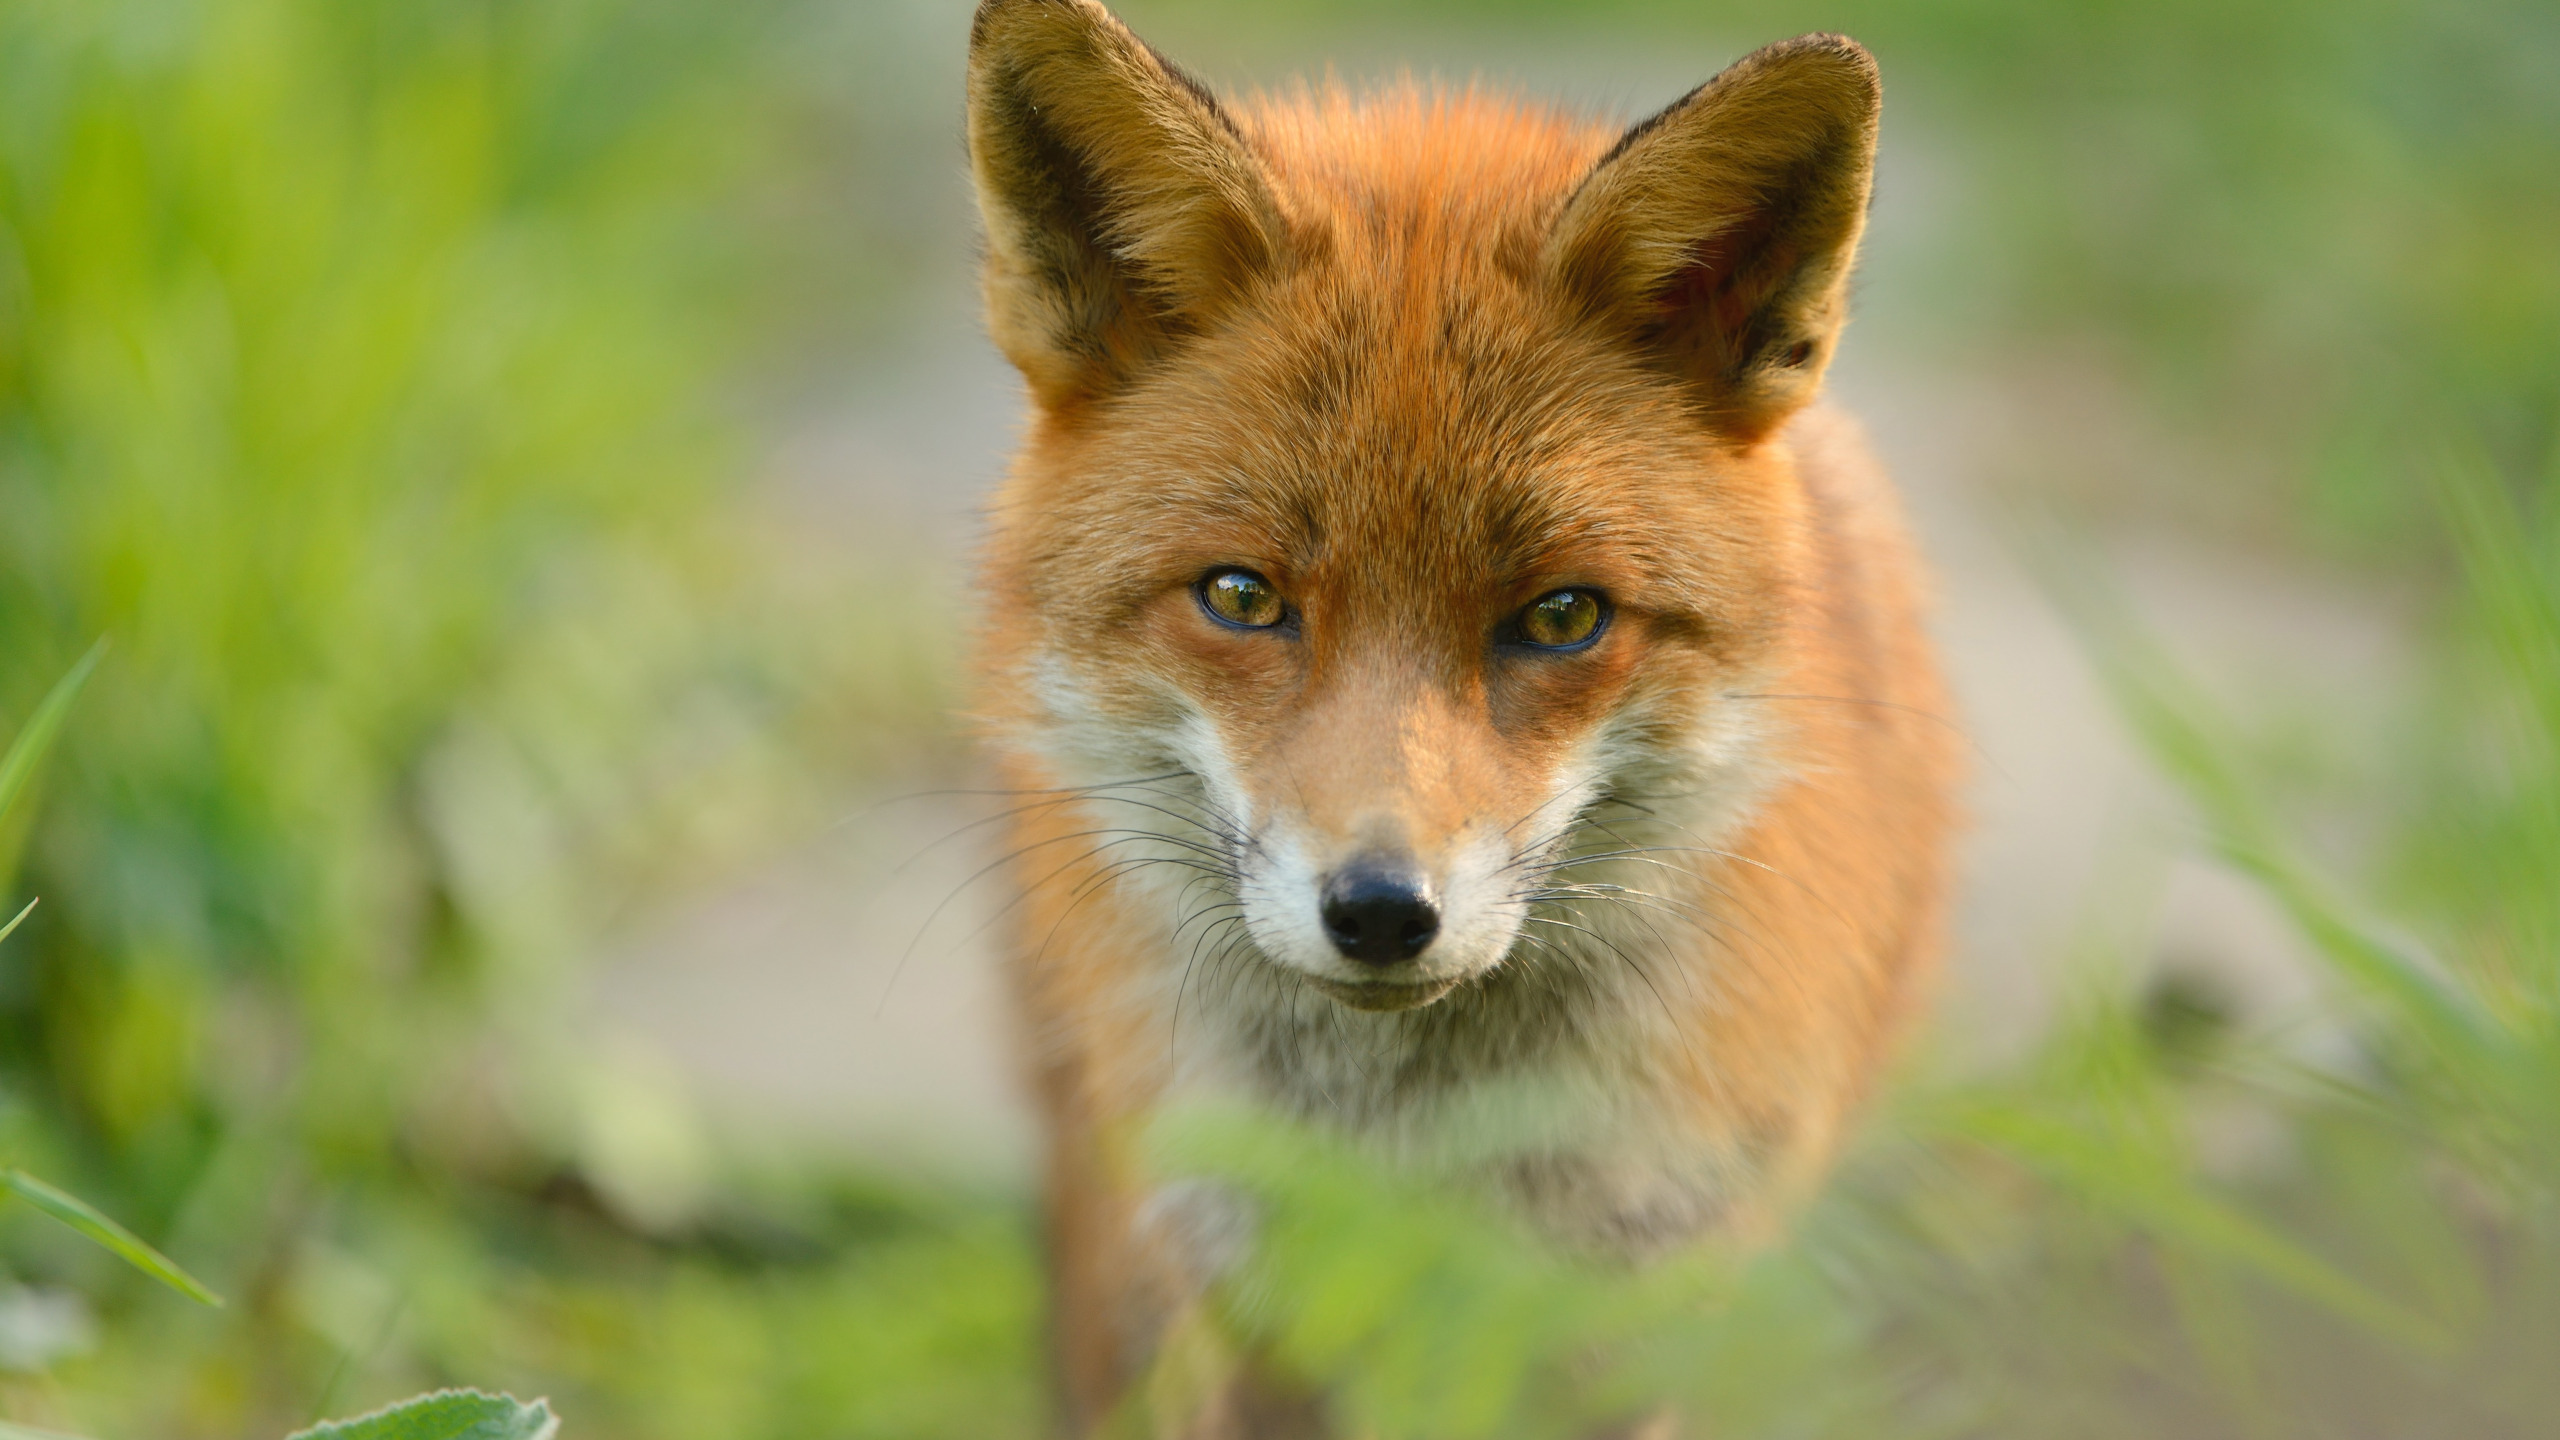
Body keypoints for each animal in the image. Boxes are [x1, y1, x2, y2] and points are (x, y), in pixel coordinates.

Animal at [962, 0, 1955, 1424]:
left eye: (1561, 617)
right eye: (1241, 596)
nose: (1381, 912)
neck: (1411, 1158)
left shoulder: (1625, 1314)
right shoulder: (1238, 1292)